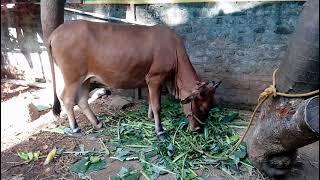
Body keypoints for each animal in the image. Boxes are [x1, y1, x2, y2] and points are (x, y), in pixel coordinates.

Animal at [47, 20, 221, 140]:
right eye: (202, 108)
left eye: (212, 106)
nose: (198, 130)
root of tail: (55, 32)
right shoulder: (155, 78)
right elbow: (157, 105)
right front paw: (160, 131)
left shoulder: (153, 81)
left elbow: (152, 101)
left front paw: (150, 117)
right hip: (73, 76)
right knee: (67, 99)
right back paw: (75, 128)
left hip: (86, 78)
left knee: (82, 100)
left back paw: (97, 123)